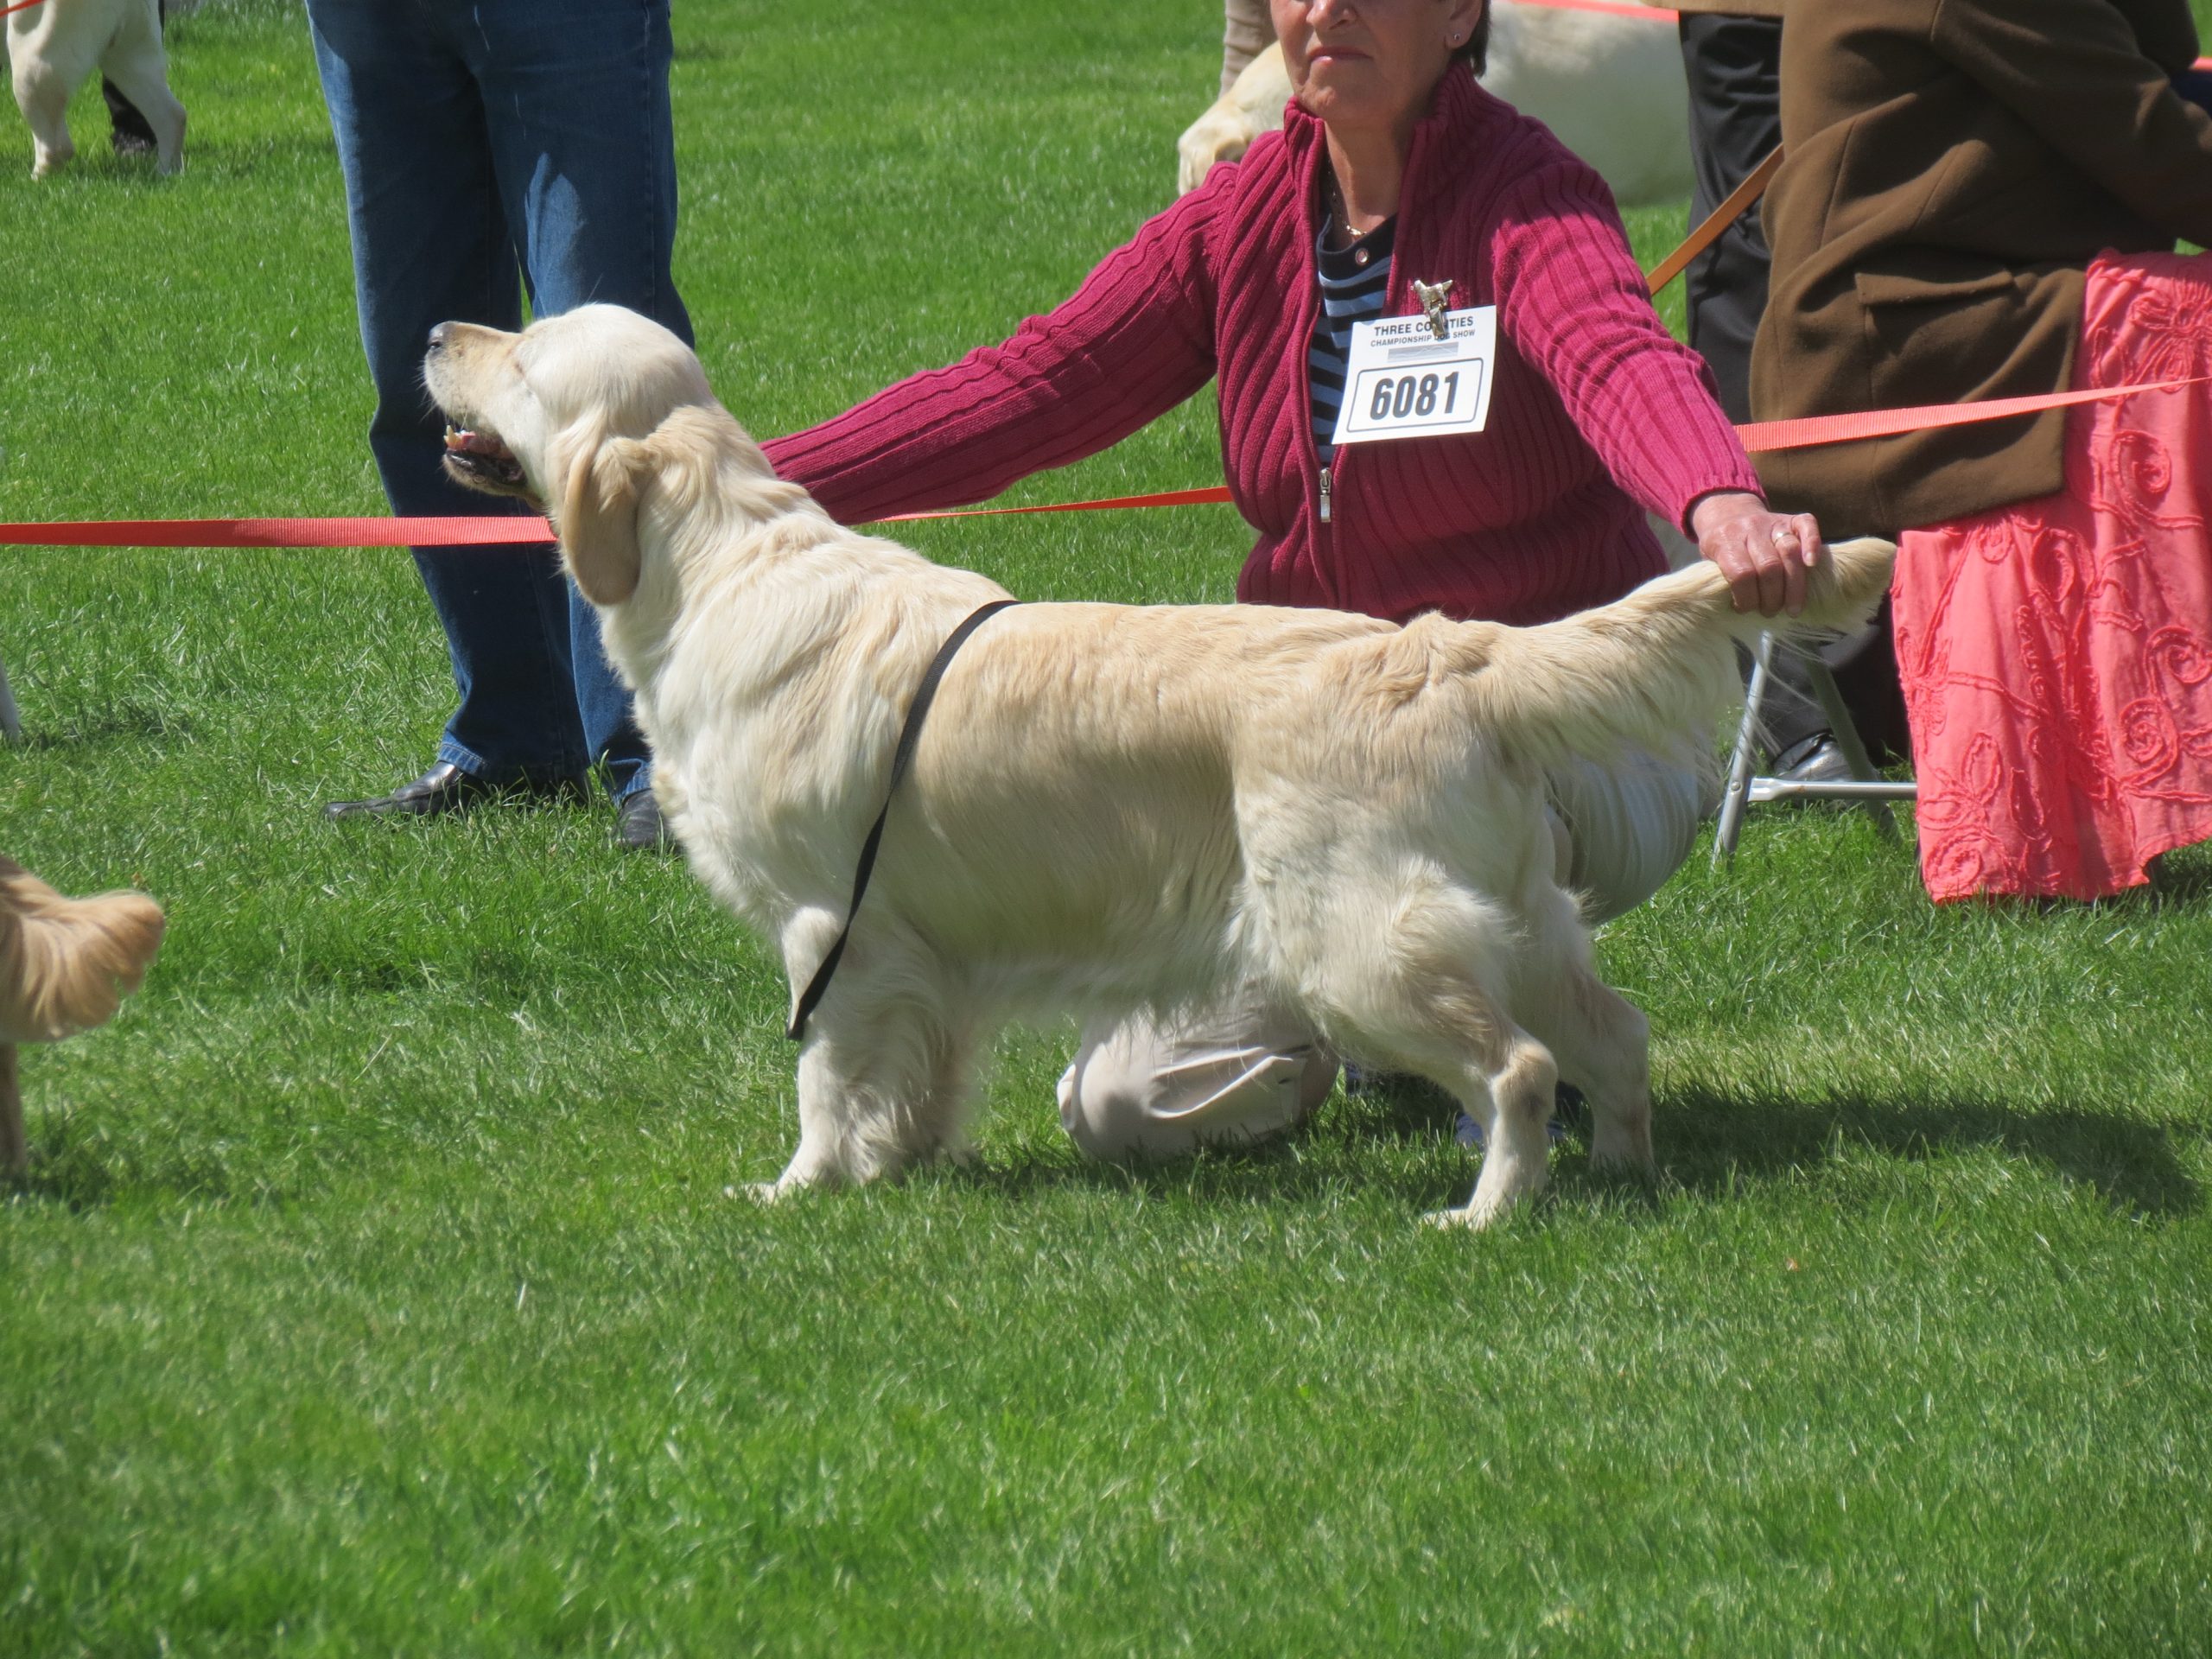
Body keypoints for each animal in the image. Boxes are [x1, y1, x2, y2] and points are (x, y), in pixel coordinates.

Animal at [7, 0, 181, 178]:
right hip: (129, 60)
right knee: (173, 116)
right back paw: (166, 173)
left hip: (34, 66)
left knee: (57, 148)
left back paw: (35, 179)